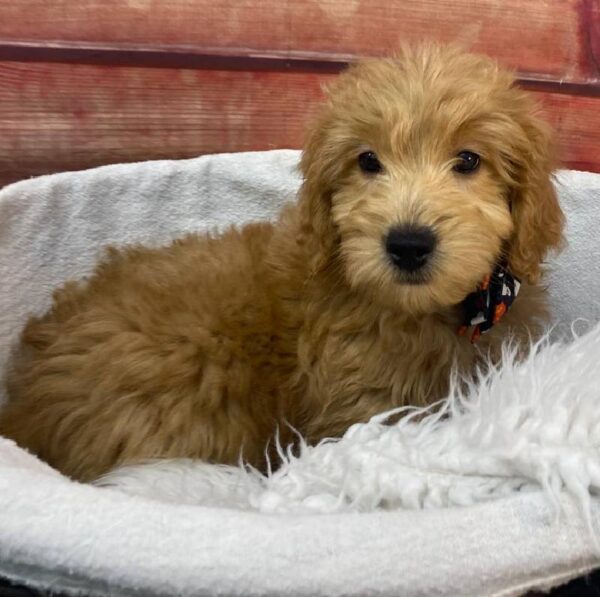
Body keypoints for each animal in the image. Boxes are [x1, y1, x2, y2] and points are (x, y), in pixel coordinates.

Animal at [0, 47, 564, 484]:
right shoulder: (362, 411)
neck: (433, 312)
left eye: (468, 160)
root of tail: (24, 407)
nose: (407, 243)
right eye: (367, 161)